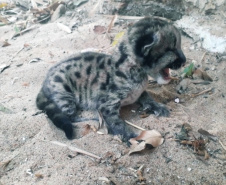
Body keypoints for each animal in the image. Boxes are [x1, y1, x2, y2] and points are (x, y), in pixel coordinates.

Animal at [36, 17, 185, 142]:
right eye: (171, 49)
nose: (184, 61)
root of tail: (44, 81)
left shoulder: (140, 92)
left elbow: (147, 96)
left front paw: (157, 106)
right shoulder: (106, 104)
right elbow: (116, 122)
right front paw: (128, 135)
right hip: (65, 95)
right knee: (69, 116)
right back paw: (89, 117)